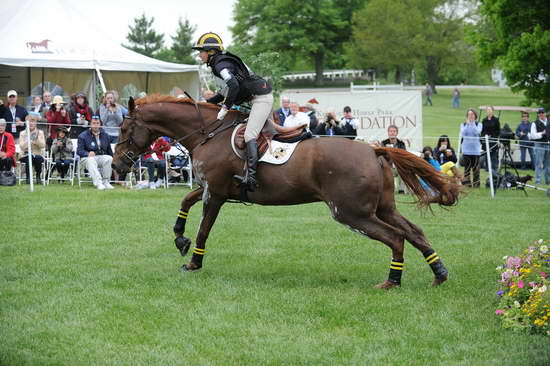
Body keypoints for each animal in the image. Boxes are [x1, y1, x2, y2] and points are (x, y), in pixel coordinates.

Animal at [114, 94, 464, 288]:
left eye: (125, 129)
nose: (117, 165)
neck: (208, 133)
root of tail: (374, 149)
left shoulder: (215, 194)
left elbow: (203, 229)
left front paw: (193, 262)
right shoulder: (212, 189)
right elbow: (185, 201)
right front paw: (179, 238)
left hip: (351, 213)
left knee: (395, 238)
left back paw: (392, 281)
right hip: (382, 208)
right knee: (414, 232)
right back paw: (439, 273)